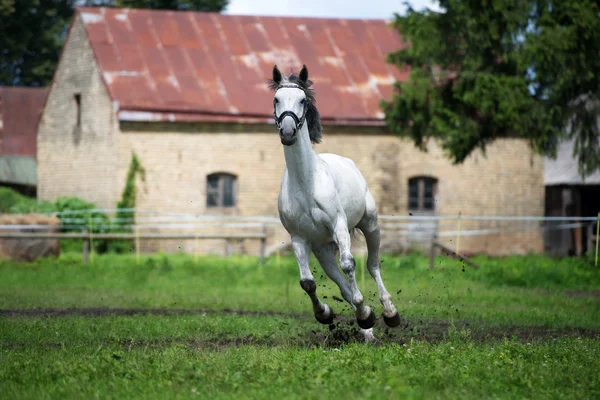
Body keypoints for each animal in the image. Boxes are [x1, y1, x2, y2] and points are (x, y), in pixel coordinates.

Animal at [270, 64, 400, 340]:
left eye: (302, 100)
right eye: (276, 99)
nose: (288, 132)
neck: (306, 183)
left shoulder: (339, 226)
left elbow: (350, 264)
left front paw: (366, 311)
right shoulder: (299, 238)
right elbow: (307, 282)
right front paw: (327, 314)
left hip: (370, 225)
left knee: (372, 265)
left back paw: (389, 313)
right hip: (323, 248)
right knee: (340, 281)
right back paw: (366, 326)